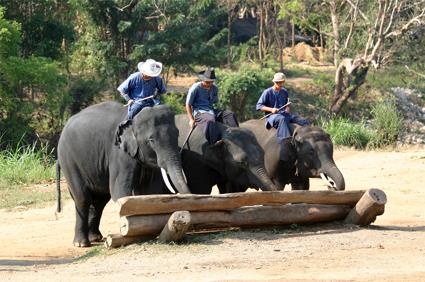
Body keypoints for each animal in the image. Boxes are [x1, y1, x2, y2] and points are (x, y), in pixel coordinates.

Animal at [57, 102, 190, 247]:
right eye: (151, 140)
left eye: (177, 135)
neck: (133, 119)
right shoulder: (119, 153)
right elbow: (120, 192)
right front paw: (125, 233)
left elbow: (149, 192)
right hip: (69, 161)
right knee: (82, 198)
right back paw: (81, 244)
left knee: (99, 201)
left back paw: (95, 238)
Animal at [146, 113, 278, 195]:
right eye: (241, 162)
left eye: (263, 155)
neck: (222, 131)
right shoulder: (195, 160)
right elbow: (201, 190)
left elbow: (227, 189)